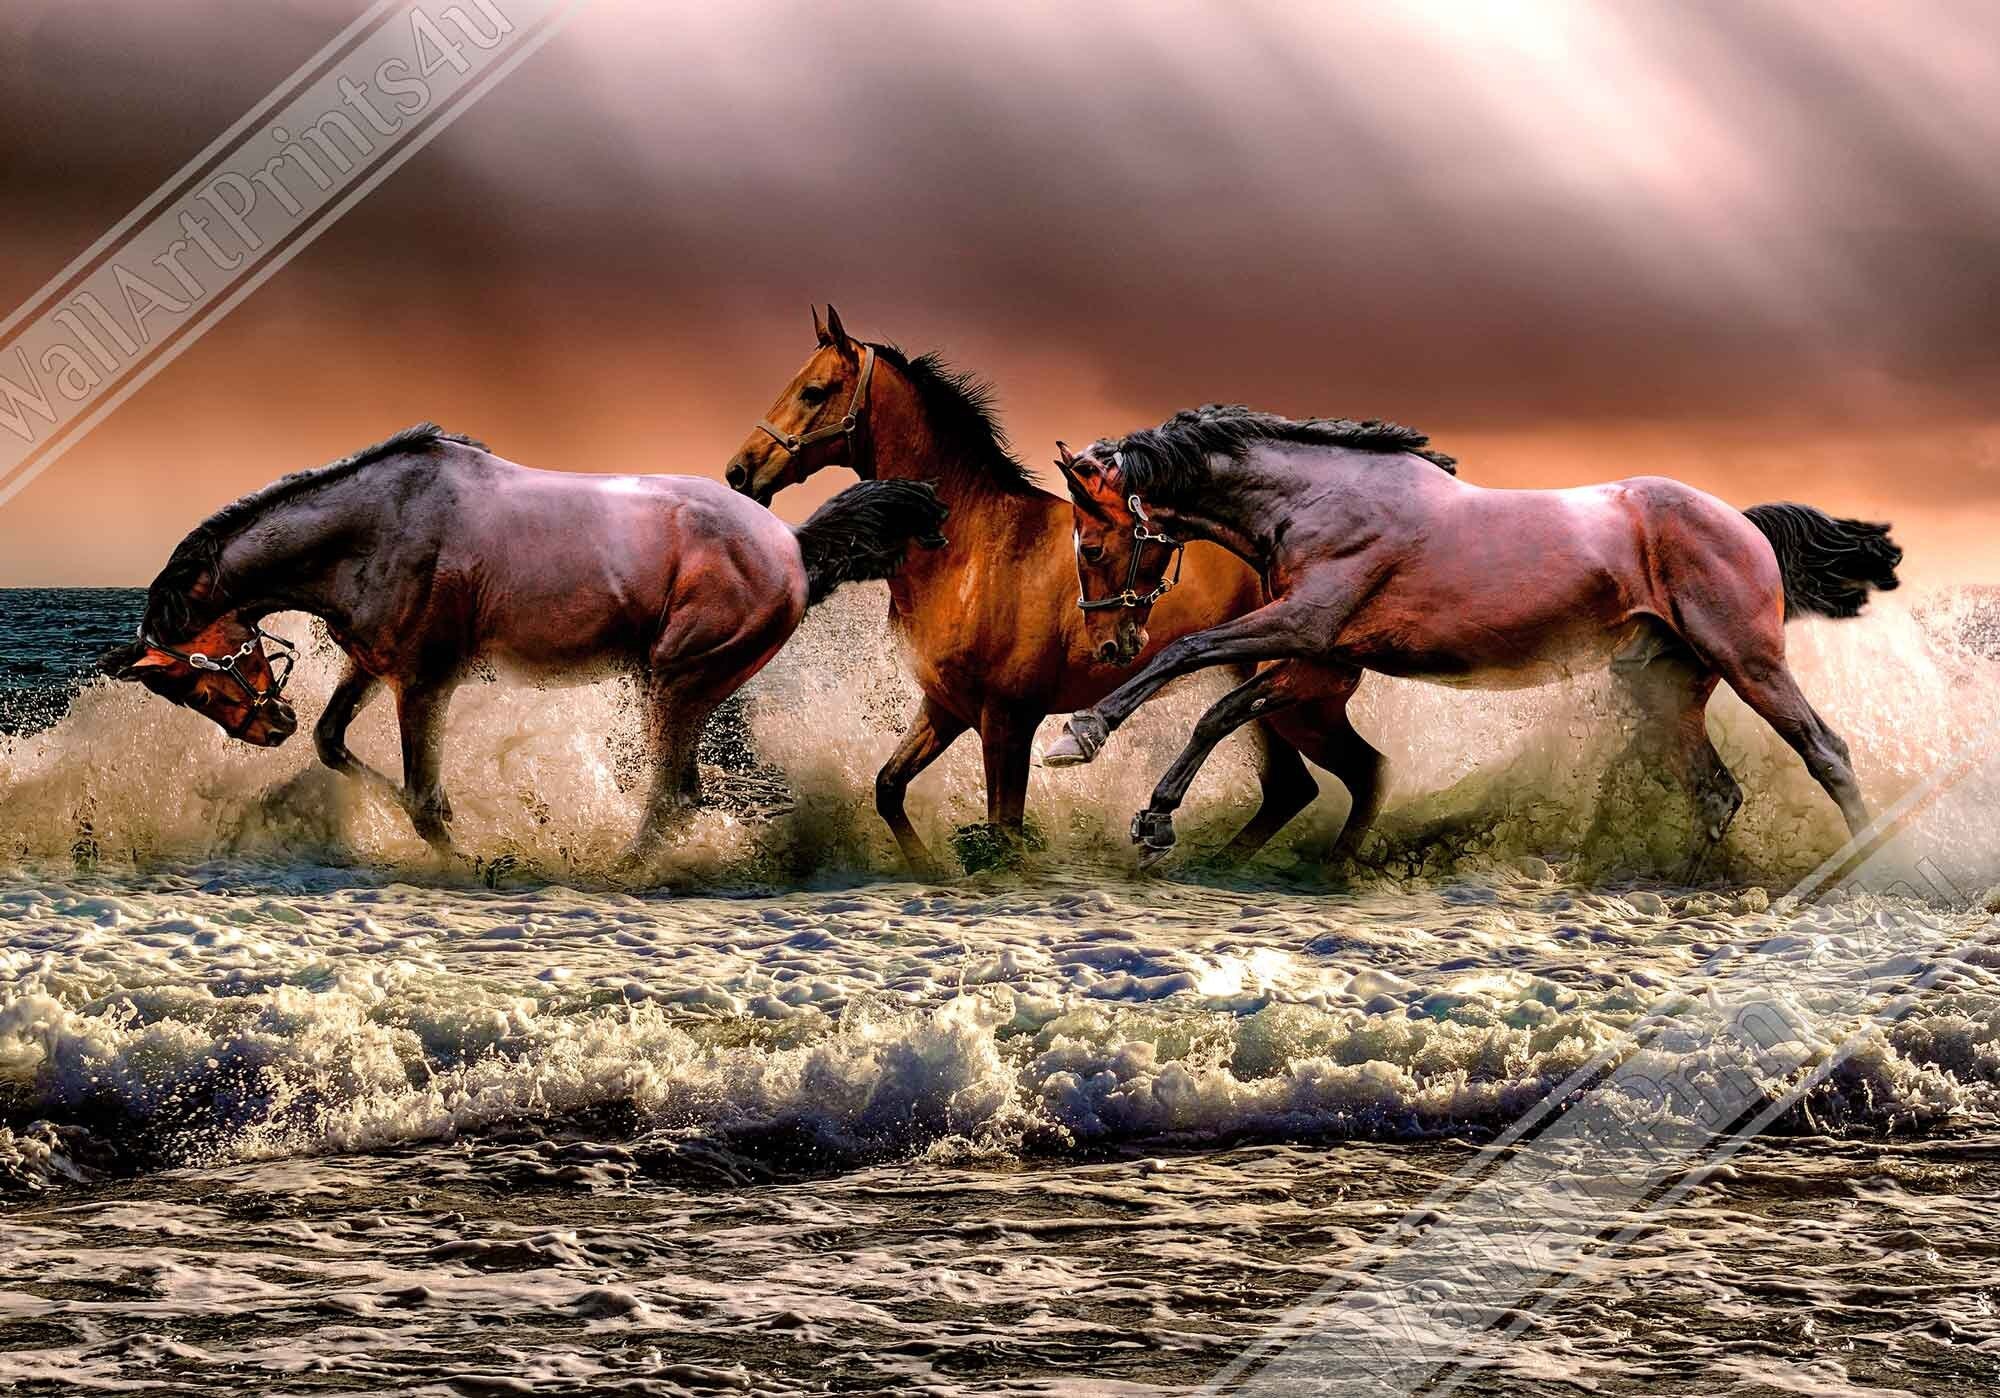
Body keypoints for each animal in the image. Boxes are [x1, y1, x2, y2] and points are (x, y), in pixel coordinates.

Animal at [99, 423, 949, 866]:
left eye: (197, 675)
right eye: (183, 692)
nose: (266, 727)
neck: (373, 529)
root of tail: (794, 545)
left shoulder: (426, 681)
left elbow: (423, 800)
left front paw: (476, 863)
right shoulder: (372, 666)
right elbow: (335, 744)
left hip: (677, 682)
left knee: (672, 797)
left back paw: (616, 874)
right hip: (677, 688)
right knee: (678, 795)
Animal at [724, 306, 1376, 874]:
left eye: (813, 391)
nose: (739, 472)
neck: (974, 551)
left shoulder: (1008, 721)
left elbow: (1004, 833)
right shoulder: (945, 708)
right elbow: (889, 789)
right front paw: (929, 869)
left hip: (1299, 706)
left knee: (1355, 775)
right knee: (1294, 788)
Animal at [1045, 404, 1903, 874]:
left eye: (1094, 544)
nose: (1110, 641)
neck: (1317, 499)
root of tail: (1741, 522)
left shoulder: (1305, 626)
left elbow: (1185, 656)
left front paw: (1079, 736)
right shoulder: (1318, 660)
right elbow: (1221, 712)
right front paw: (1154, 820)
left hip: (1748, 660)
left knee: (1825, 751)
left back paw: (1865, 871)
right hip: (1664, 688)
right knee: (1717, 791)